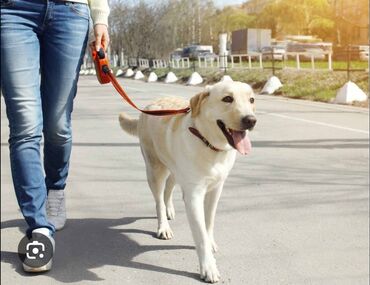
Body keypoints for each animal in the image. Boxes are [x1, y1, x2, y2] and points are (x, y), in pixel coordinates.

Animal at [120, 80, 256, 282]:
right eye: (227, 99)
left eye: (251, 100)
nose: (251, 120)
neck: (209, 144)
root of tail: (148, 106)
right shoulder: (194, 195)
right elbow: (200, 235)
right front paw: (209, 267)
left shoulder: (216, 189)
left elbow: (209, 223)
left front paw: (210, 242)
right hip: (155, 169)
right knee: (159, 200)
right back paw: (163, 226)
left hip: (175, 170)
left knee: (168, 189)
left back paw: (169, 209)